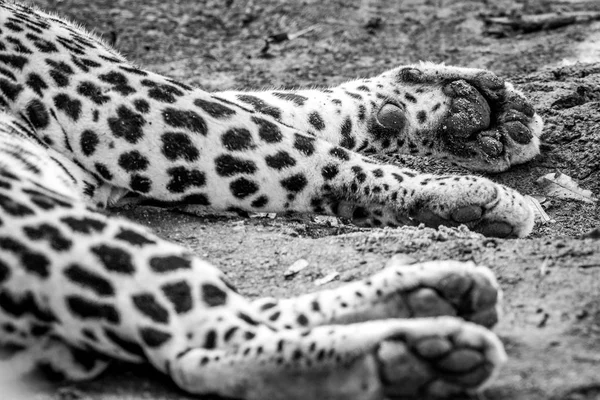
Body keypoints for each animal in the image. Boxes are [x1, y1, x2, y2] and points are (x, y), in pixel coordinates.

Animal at [0, 1, 548, 398]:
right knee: (200, 345)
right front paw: (459, 191)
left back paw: (431, 293)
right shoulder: (120, 100)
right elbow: (307, 150)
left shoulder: (120, 94)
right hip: (43, 217)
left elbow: (287, 106)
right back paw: (412, 351)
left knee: (230, 318)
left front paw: (464, 113)